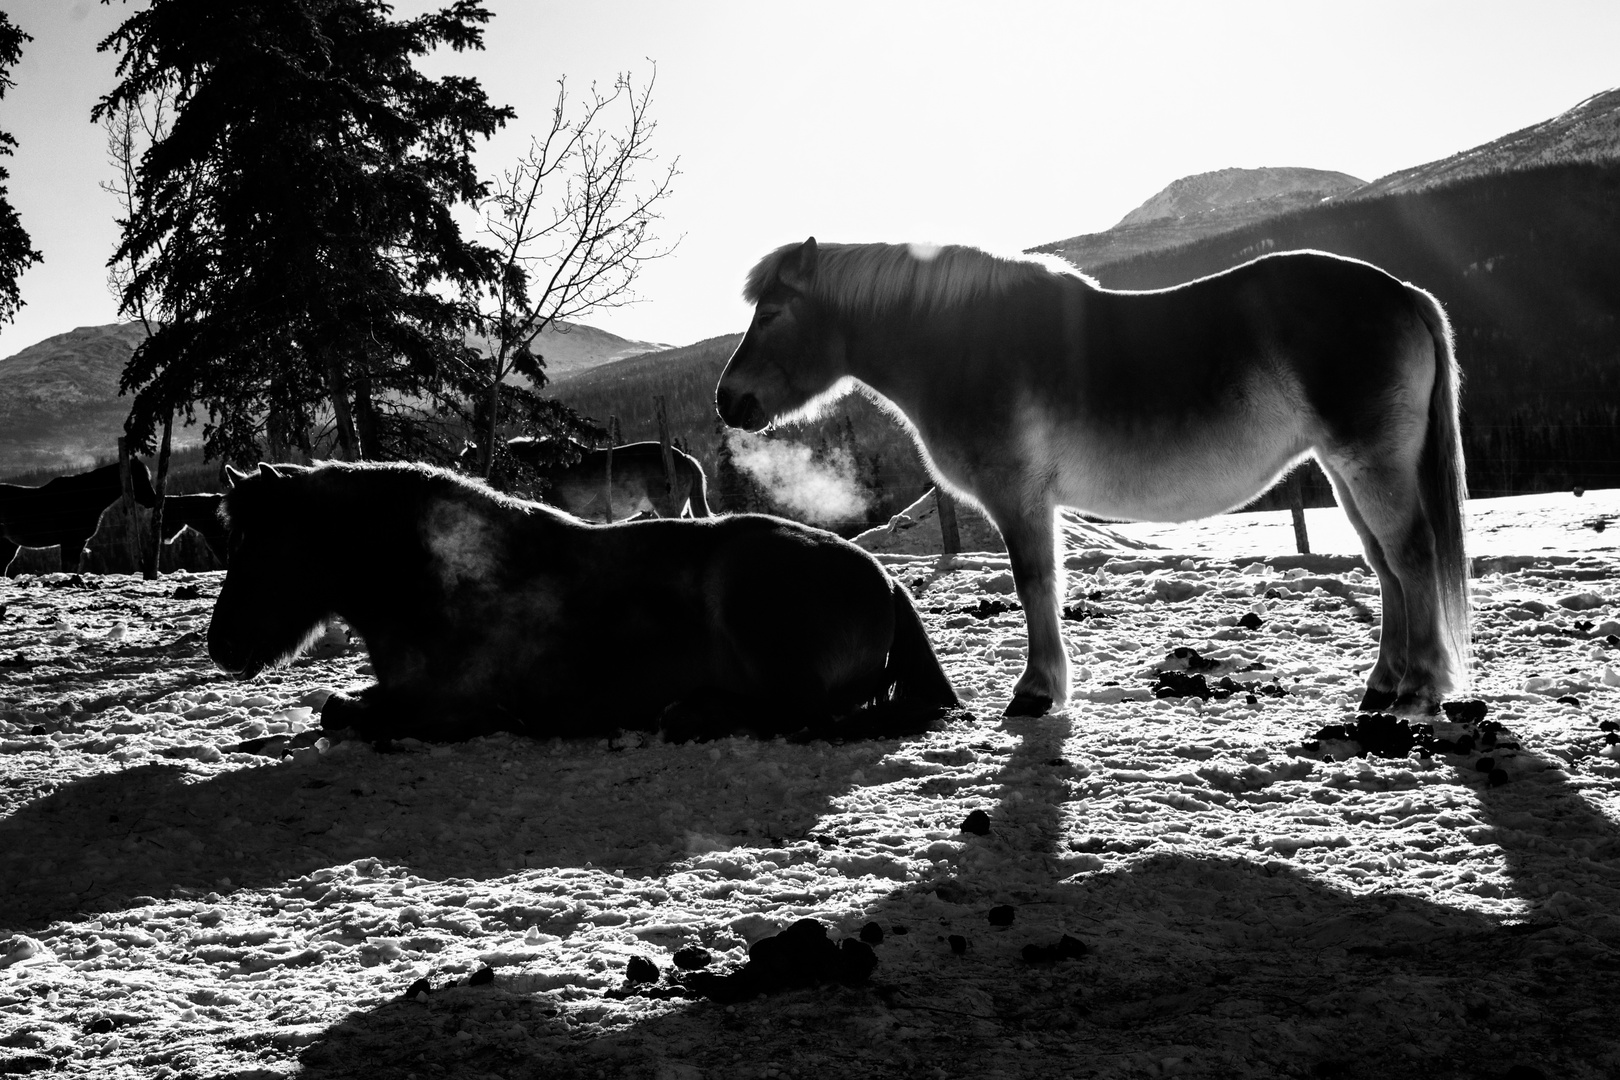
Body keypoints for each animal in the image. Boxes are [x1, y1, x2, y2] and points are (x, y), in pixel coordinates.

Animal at [0, 456, 159, 573]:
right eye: (138, 478)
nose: (153, 499)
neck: (82, 497)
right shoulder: (69, 541)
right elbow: (67, 568)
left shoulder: (79, 542)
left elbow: (73, 568)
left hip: (9, 543)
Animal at [207, 459, 952, 738]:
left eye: (258, 545)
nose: (222, 645)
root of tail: (882, 578)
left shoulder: (438, 700)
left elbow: (342, 713)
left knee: (799, 715)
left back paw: (694, 712)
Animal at [719, 241, 1470, 722]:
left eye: (772, 314)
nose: (730, 400)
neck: (961, 342)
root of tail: (1402, 293)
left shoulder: (1019, 498)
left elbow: (1035, 584)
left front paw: (1036, 691)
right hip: (1346, 473)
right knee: (1386, 569)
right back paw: (1382, 687)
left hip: (1370, 466)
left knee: (1411, 558)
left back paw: (1418, 692)